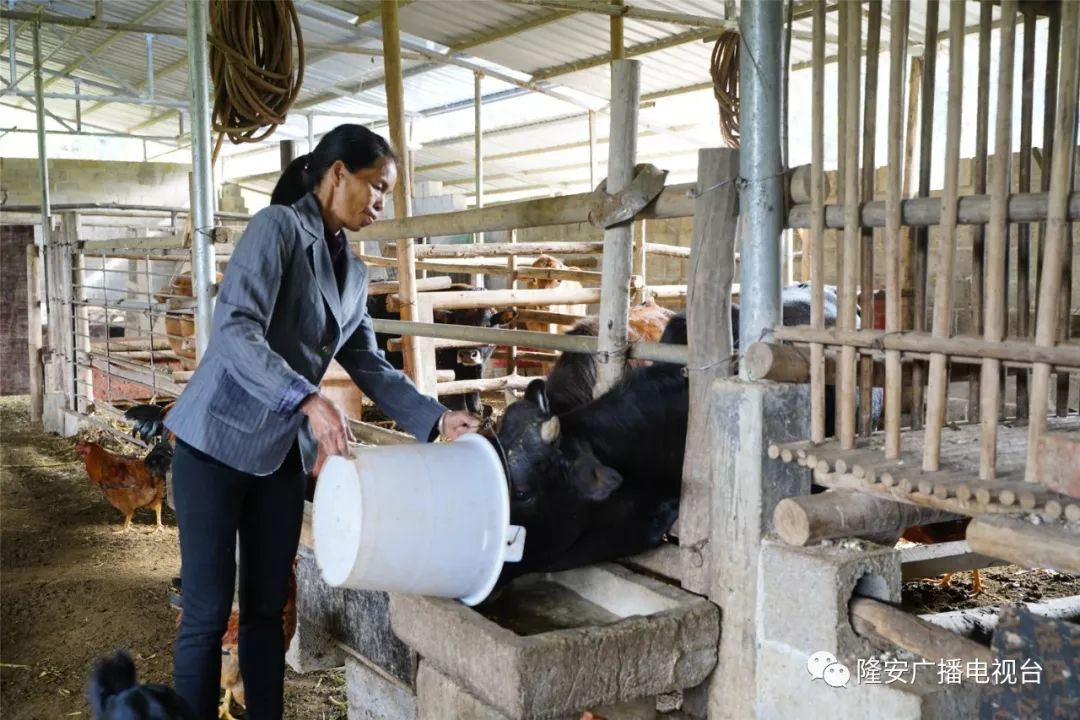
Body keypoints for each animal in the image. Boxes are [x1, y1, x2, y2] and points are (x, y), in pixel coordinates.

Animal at [365, 284, 516, 410]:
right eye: (456, 325)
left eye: (486, 325)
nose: (467, 354)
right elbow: (458, 401)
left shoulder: (477, 370)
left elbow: (474, 397)